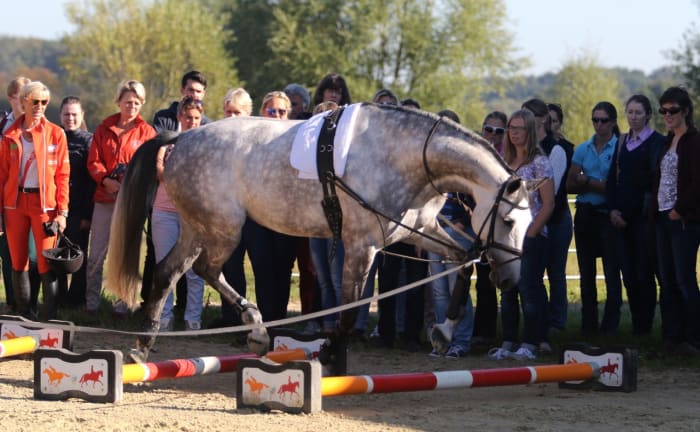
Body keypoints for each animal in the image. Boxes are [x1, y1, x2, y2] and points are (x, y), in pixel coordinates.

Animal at [105, 104, 532, 368]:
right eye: (509, 221)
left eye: (528, 226)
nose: (510, 280)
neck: (408, 158)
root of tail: (181, 139)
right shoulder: (362, 246)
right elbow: (347, 310)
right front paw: (327, 353)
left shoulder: (420, 231)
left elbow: (462, 262)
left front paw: (443, 331)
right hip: (222, 227)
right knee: (203, 270)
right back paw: (254, 329)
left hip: (198, 226)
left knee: (169, 272)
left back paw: (145, 347)